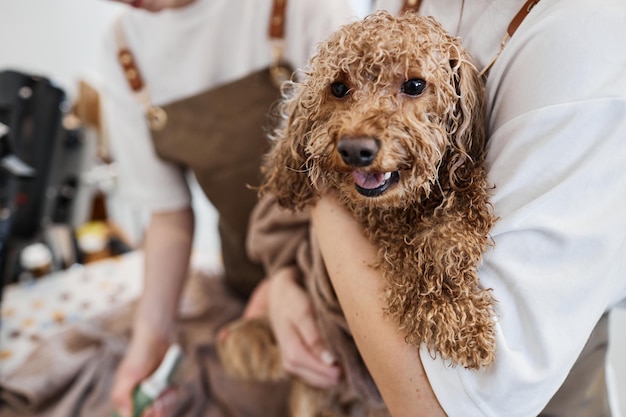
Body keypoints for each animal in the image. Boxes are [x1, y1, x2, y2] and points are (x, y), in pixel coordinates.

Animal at [219, 10, 498, 416]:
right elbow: (408, 257)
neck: (403, 207)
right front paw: (453, 317)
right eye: (338, 88)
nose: (355, 149)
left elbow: (453, 226)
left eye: (415, 84)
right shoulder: (378, 225)